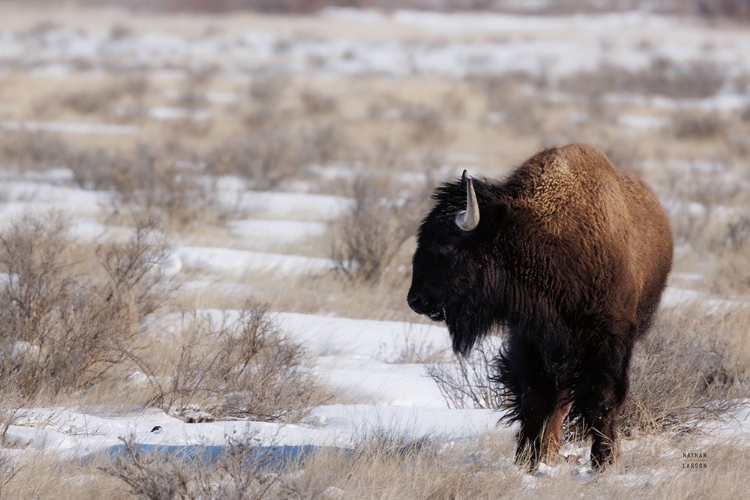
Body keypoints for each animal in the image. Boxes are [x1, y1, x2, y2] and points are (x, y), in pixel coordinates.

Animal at [412, 143, 676, 470]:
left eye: (447, 245)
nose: (415, 300)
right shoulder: (532, 340)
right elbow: (535, 400)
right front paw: (527, 462)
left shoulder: (608, 340)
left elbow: (601, 400)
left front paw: (604, 462)